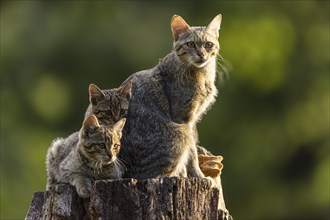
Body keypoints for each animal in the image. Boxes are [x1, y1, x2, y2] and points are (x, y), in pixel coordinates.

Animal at [118, 13, 222, 180]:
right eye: (191, 44)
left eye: (208, 44)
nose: (201, 54)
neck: (202, 74)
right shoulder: (183, 118)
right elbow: (192, 154)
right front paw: (197, 175)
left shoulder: (192, 119)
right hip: (179, 134)